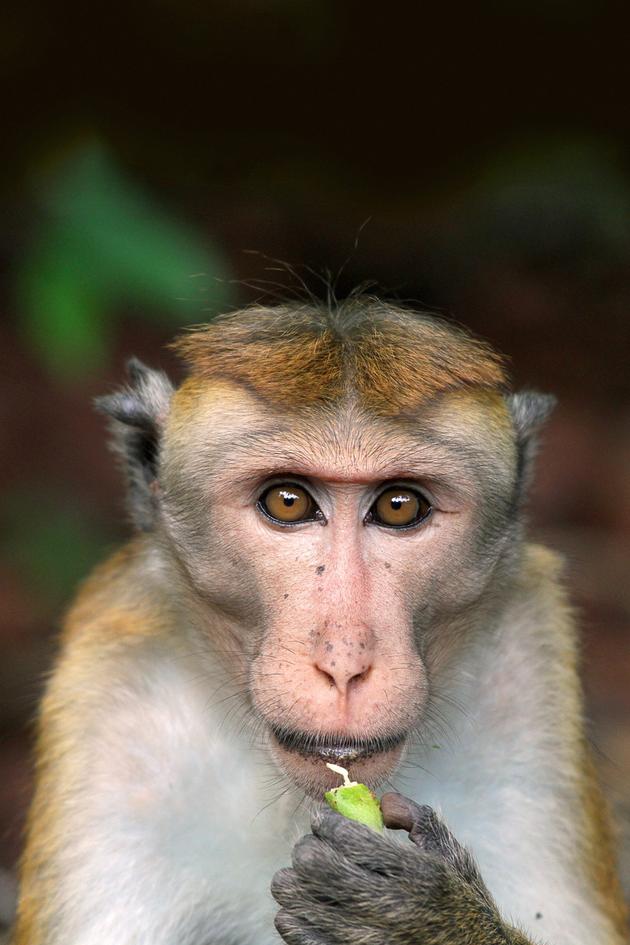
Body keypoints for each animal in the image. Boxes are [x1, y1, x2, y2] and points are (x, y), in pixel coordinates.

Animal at [12, 300, 628, 945]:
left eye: (399, 506)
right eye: (288, 501)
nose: (344, 663)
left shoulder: (527, 672)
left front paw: (417, 918)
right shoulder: (116, 705)